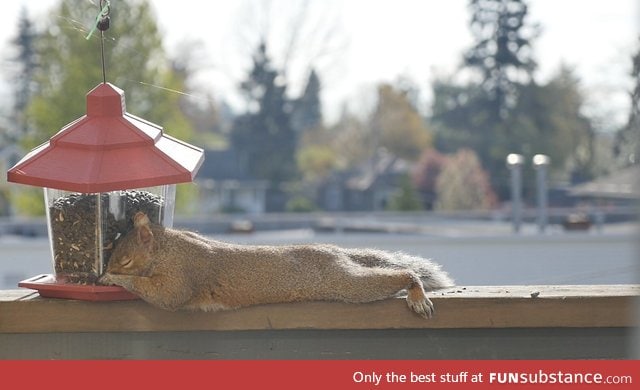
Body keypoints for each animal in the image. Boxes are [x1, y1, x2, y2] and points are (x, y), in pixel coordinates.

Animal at [99, 212, 456, 318]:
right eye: (111, 246)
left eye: (126, 258)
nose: (105, 269)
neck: (168, 248)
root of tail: (336, 251)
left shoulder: (184, 273)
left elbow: (166, 296)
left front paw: (114, 279)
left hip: (346, 282)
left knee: (391, 277)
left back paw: (416, 293)